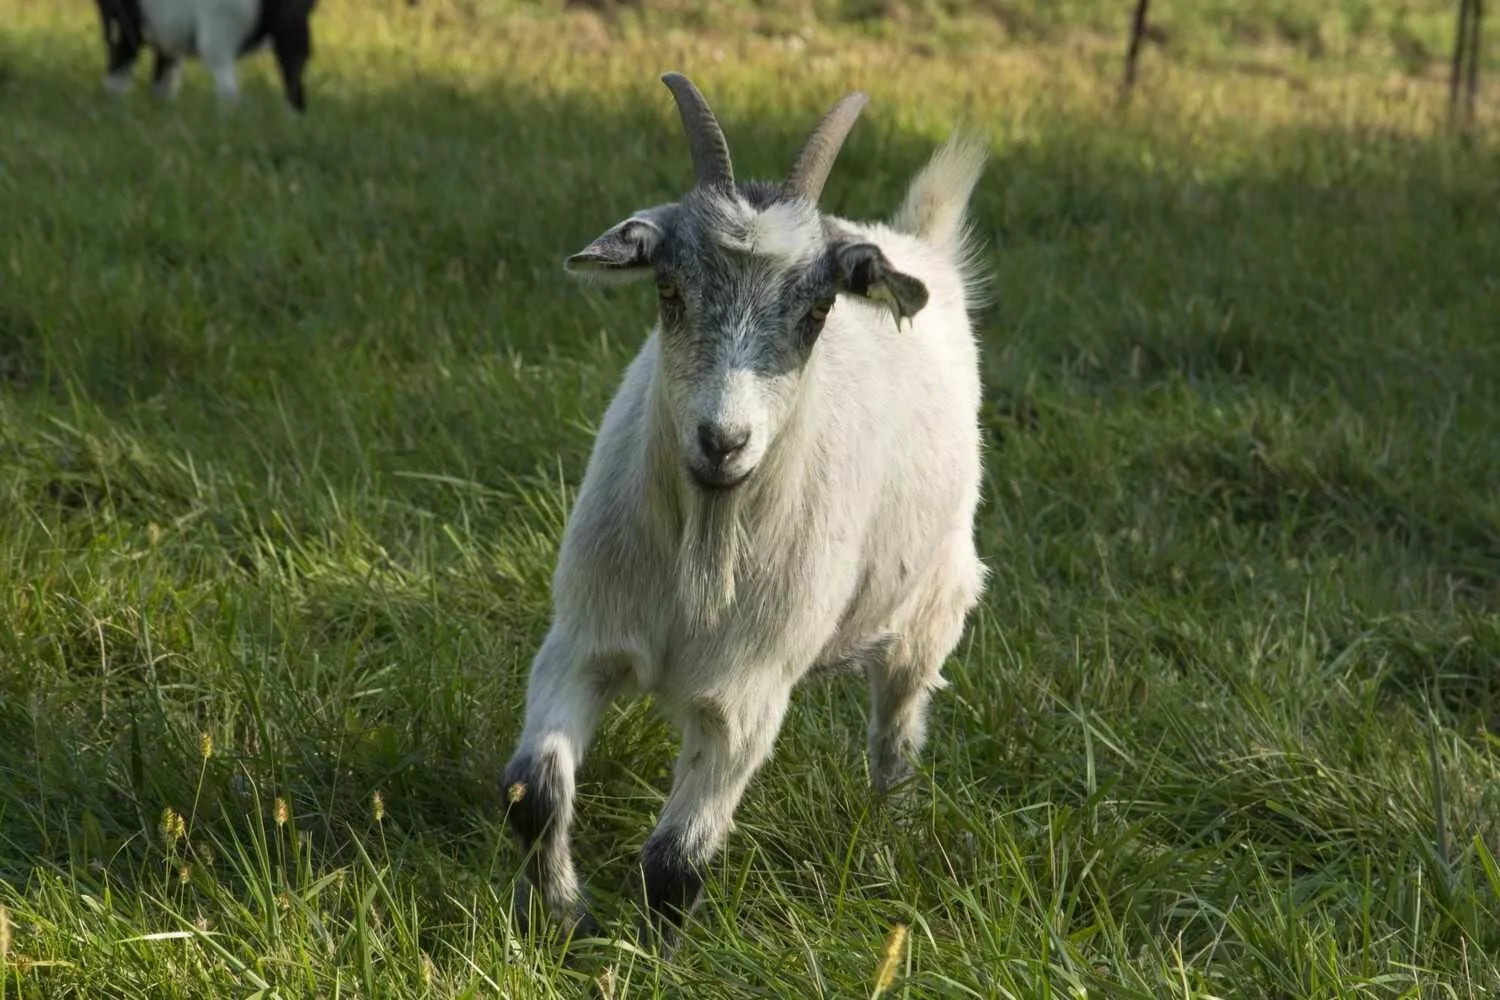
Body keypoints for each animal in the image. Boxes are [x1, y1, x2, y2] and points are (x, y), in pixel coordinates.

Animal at [93, 0, 315, 111]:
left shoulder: (125, 21)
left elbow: (118, 74)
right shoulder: (166, 33)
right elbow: (164, 77)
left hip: (219, 28)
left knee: (228, 89)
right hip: (292, 28)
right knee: (294, 83)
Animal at [502, 72, 987, 947]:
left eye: (818, 312)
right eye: (668, 289)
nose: (722, 441)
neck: (704, 544)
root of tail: (914, 243)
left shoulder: (747, 694)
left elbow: (674, 862)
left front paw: (650, 956)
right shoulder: (582, 639)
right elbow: (535, 792)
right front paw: (565, 917)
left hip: (933, 607)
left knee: (896, 736)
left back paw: (886, 845)